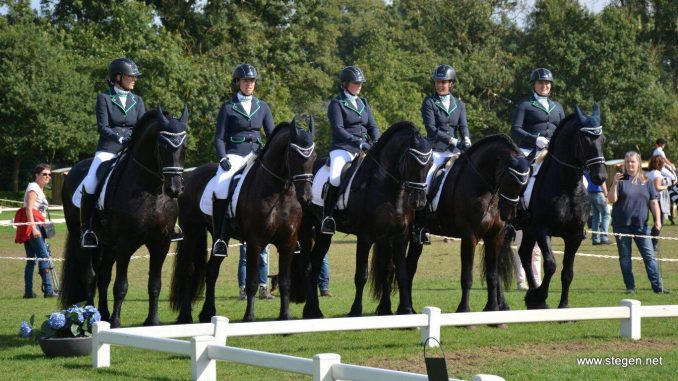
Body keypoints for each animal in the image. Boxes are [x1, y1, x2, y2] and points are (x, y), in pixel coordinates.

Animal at [59, 107, 189, 326]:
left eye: (185, 146)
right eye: (162, 145)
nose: (175, 189)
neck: (151, 191)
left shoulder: (160, 243)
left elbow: (155, 284)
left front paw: (152, 321)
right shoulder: (125, 243)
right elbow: (121, 285)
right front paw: (116, 323)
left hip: (108, 244)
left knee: (103, 276)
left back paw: (102, 313)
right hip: (83, 239)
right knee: (90, 276)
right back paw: (90, 316)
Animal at [170, 119, 318, 320]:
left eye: (314, 156)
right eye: (294, 155)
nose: (306, 197)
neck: (279, 192)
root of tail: (190, 177)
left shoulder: (288, 242)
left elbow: (285, 281)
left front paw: (284, 317)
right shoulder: (255, 242)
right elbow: (252, 282)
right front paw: (249, 317)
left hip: (220, 235)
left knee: (211, 271)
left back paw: (208, 313)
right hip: (192, 233)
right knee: (188, 270)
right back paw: (185, 315)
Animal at [294, 121, 432, 318]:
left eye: (430, 164)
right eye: (413, 161)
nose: (419, 202)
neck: (389, 190)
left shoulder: (399, 235)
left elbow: (400, 273)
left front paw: (405, 310)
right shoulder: (365, 236)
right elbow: (361, 275)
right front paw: (355, 311)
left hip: (323, 234)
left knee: (314, 265)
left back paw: (313, 311)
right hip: (306, 228)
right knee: (307, 265)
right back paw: (312, 310)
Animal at [404, 135, 532, 314]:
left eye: (525, 183)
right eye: (510, 179)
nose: (508, 214)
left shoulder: (495, 236)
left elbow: (493, 275)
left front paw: (493, 308)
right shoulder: (469, 236)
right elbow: (467, 276)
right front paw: (464, 309)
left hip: (417, 237)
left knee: (410, 266)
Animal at [502, 103, 608, 308]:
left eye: (603, 139)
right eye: (585, 139)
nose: (600, 177)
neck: (567, 188)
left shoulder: (574, 235)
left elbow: (567, 272)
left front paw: (562, 305)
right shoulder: (543, 230)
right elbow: (551, 264)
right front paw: (540, 297)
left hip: (528, 230)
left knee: (524, 254)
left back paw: (531, 294)